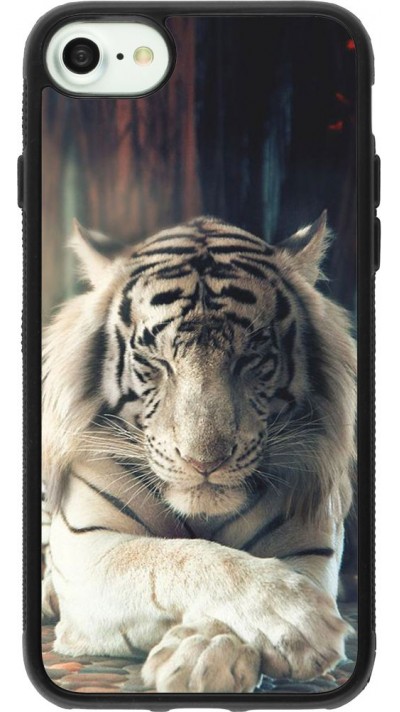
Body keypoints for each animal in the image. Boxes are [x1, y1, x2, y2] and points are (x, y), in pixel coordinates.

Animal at [42, 212, 356, 693]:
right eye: (155, 361)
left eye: (251, 358)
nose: (204, 462)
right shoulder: (88, 549)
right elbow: (177, 557)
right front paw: (296, 618)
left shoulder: (309, 550)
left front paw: (205, 655)